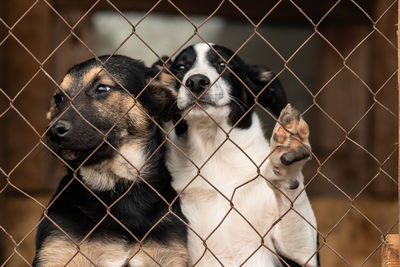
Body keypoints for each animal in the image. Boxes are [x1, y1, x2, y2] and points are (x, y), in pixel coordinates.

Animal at [32, 55, 189, 266]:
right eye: (59, 98)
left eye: (102, 88)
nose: (53, 131)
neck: (117, 187)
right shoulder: (57, 251)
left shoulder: (169, 254)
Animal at [164, 43, 318, 266]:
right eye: (180, 67)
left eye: (223, 64)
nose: (195, 82)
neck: (214, 154)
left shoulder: (303, 256)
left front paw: (288, 153)